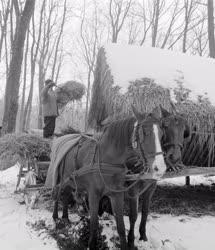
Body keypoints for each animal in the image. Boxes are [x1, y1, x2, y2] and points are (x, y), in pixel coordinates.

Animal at [50, 106, 166, 249]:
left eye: (161, 134)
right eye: (144, 132)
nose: (160, 168)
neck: (107, 159)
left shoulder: (117, 195)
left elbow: (122, 225)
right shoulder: (94, 195)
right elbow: (94, 224)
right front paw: (92, 244)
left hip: (70, 181)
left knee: (66, 195)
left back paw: (65, 218)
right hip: (61, 178)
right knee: (57, 194)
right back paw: (56, 217)